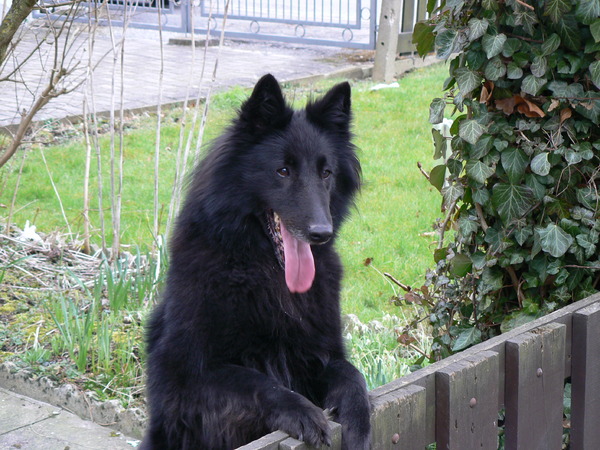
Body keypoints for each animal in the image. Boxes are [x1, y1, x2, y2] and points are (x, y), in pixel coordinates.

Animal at [143, 74, 372, 450]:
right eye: (283, 171)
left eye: (326, 173)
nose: (321, 233)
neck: (264, 274)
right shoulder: (188, 378)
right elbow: (257, 381)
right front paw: (303, 412)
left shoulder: (322, 353)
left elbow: (352, 374)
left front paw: (359, 421)